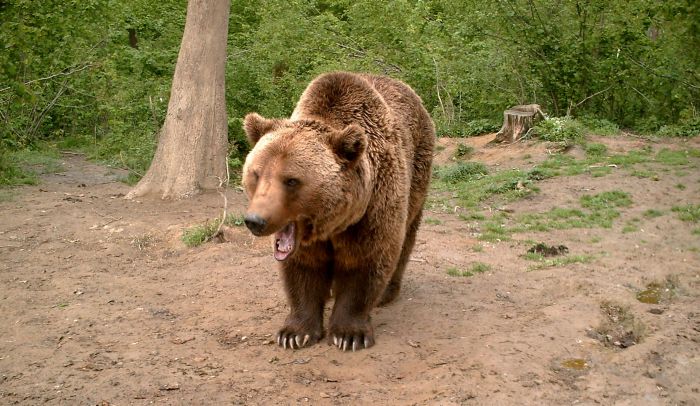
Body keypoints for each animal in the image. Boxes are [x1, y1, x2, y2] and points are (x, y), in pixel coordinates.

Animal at [243, 71, 434, 350]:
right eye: (256, 174)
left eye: (291, 180)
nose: (255, 221)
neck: (332, 223)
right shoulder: (305, 241)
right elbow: (302, 269)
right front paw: (294, 333)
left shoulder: (372, 211)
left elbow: (365, 262)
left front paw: (349, 334)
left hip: (418, 173)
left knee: (407, 236)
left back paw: (388, 292)